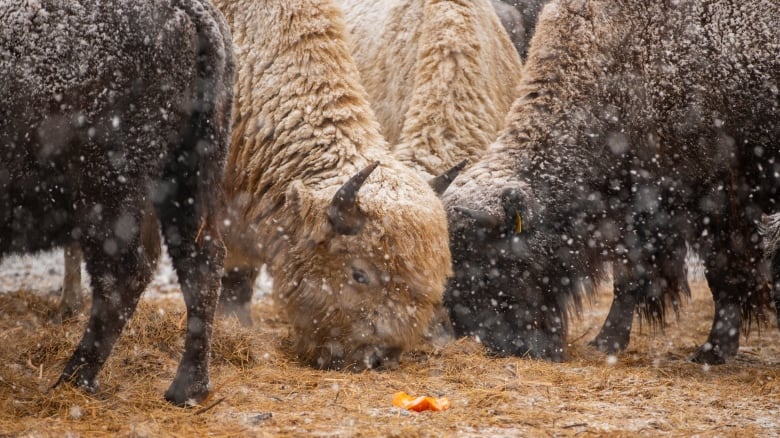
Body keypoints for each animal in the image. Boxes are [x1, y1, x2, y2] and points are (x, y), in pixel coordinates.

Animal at [0, 0, 235, 408]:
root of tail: (189, 9)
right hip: (185, 181)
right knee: (200, 264)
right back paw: (186, 389)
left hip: (107, 196)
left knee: (122, 276)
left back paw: (73, 380)